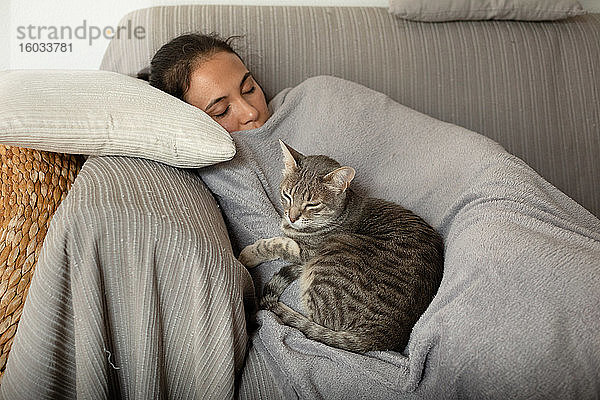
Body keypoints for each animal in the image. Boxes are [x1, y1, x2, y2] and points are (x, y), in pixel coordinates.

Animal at [240, 141, 446, 354]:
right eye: (287, 195)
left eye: (312, 204)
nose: (292, 217)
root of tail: (380, 338)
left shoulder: (306, 252)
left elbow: (278, 243)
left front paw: (249, 254)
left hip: (328, 261)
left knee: (310, 323)